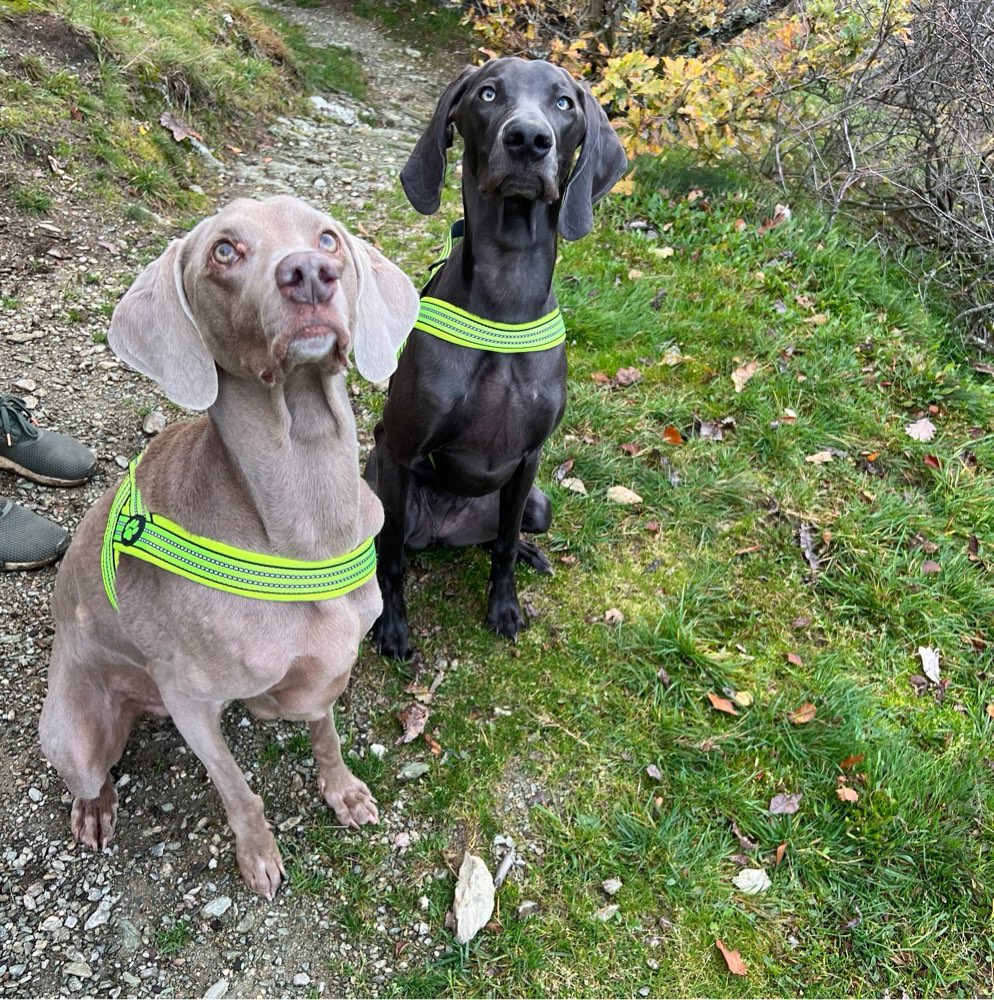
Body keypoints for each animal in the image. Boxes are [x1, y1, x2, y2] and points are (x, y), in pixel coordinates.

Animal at [39, 195, 414, 900]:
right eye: (224, 251)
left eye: (328, 237)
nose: (310, 273)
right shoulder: (190, 703)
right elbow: (239, 791)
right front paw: (258, 854)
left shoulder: (331, 662)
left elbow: (326, 732)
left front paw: (343, 791)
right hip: (72, 736)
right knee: (89, 774)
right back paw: (95, 808)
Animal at [364, 58, 628, 660]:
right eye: (487, 93)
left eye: (564, 103)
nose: (528, 140)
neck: (507, 296)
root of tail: (448, 529)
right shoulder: (399, 450)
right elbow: (391, 563)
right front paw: (392, 626)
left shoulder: (529, 458)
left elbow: (504, 546)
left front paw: (504, 606)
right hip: (383, 488)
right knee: (391, 548)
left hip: (537, 502)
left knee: (501, 537)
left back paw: (529, 553)